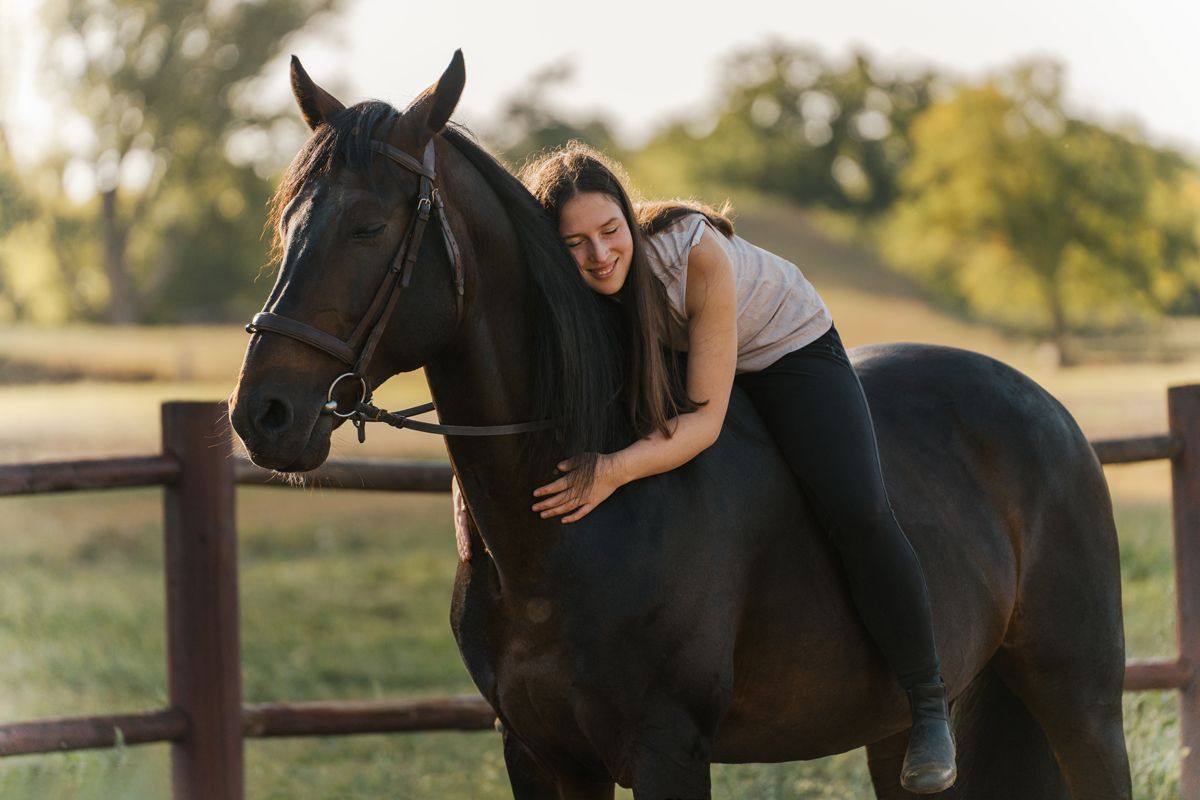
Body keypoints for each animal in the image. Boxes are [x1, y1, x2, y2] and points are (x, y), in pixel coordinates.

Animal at [229, 52, 1133, 799]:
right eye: (288, 224)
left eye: (368, 227)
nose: (263, 416)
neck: (557, 536)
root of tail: (1048, 410)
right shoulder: (540, 755)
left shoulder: (669, 749)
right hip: (899, 740)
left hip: (1080, 701)